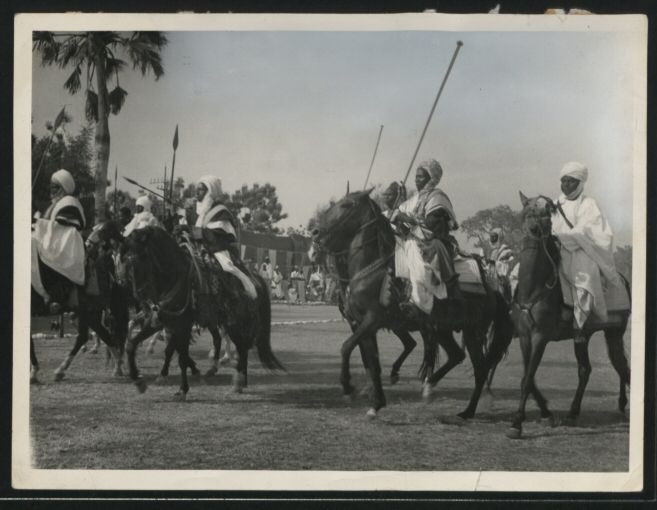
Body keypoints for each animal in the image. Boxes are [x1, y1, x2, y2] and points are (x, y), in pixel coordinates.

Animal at [105, 225, 282, 400]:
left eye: (141, 257)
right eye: (121, 259)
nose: (136, 293)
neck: (173, 279)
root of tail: (255, 278)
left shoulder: (183, 324)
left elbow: (181, 356)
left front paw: (183, 389)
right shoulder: (160, 321)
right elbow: (132, 345)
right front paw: (139, 381)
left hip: (235, 323)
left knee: (241, 347)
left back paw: (238, 380)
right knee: (230, 343)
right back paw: (233, 378)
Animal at [310, 189, 516, 420]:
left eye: (347, 205)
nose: (315, 233)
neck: (371, 269)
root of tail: (493, 290)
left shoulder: (372, 320)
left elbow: (346, 347)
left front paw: (348, 387)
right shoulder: (362, 324)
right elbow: (372, 363)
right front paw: (375, 403)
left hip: (473, 332)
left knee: (480, 370)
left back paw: (467, 411)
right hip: (442, 329)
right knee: (456, 355)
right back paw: (429, 387)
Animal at [504, 193, 632, 440]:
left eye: (547, 211)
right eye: (527, 211)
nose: (536, 228)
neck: (533, 287)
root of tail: (622, 279)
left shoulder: (540, 337)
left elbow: (528, 377)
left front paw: (517, 424)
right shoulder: (524, 336)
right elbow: (528, 376)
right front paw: (545, 413)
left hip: (613, 333)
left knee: (622, 367)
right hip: (583, 336)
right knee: (587, 369)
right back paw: (573, 413)